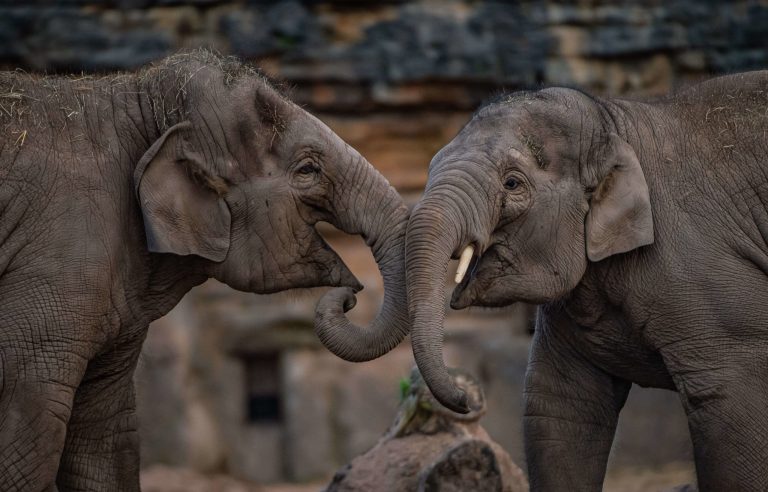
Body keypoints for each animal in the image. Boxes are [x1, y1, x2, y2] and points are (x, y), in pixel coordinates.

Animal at [0, 51, 409, 491]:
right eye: (307, 170)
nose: (352, 297)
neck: (135, 98)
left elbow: (103, 435)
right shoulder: (58, 257)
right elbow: (25, 428)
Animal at [405, 71, 768, 491]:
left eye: (512, 184)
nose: (465, 398)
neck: (616, 123)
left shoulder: (703, 270)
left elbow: (729, 400)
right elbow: (562, 406)